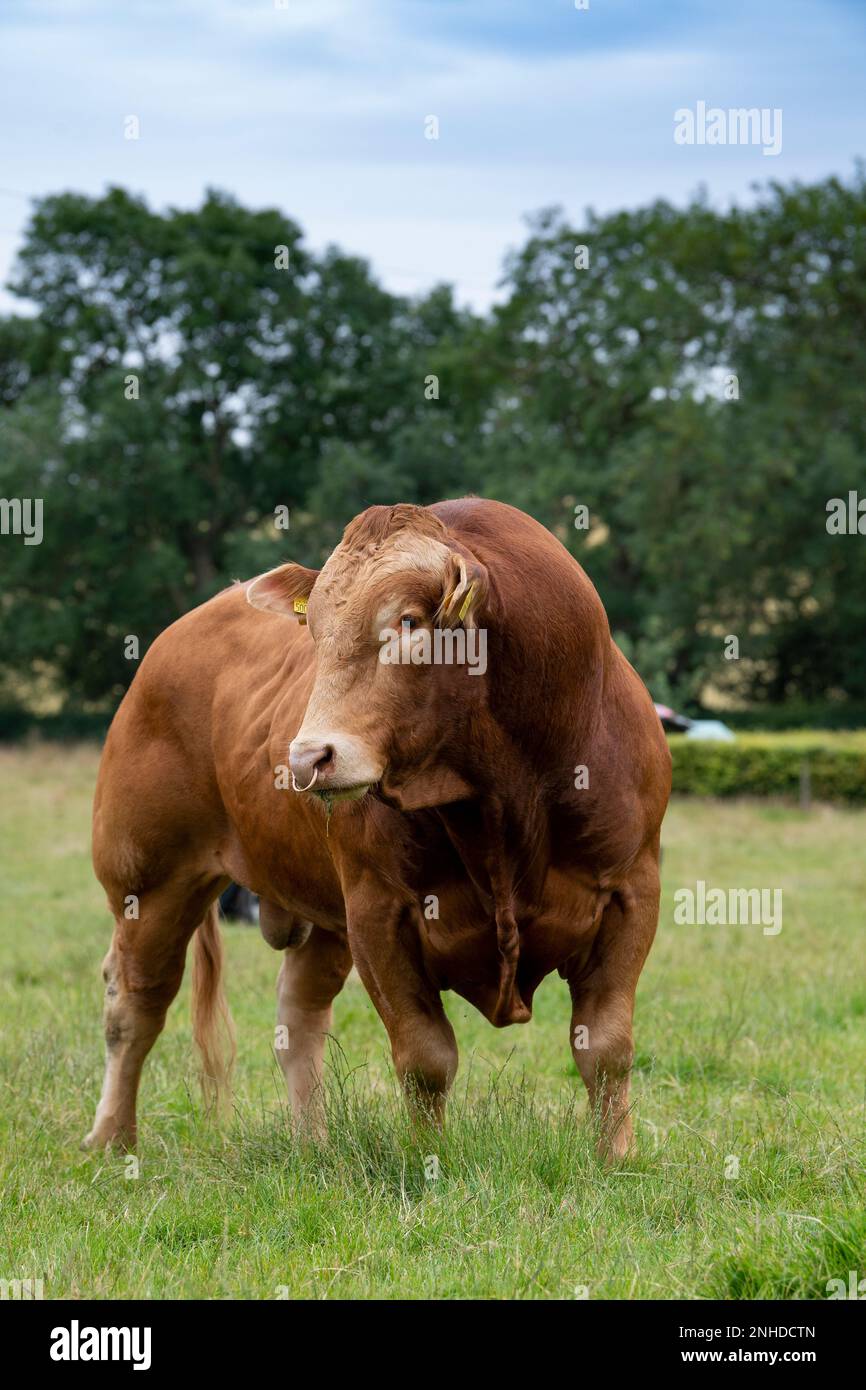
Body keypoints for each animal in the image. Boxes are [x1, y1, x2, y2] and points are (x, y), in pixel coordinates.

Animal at [86, 505, 670, 1156]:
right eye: (314, 630)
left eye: (409, 622)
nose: (306, 759)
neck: (504, 796)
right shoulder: (378, 912)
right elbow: (425, 1057)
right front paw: (429, 1159)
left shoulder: (632, 892)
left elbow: (606, 1049)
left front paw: (615, 1158)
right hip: (151, 882)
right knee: (134, 1004)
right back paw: (112, 1137)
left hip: (317, 916)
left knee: (298, 1015)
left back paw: (311, 1144)